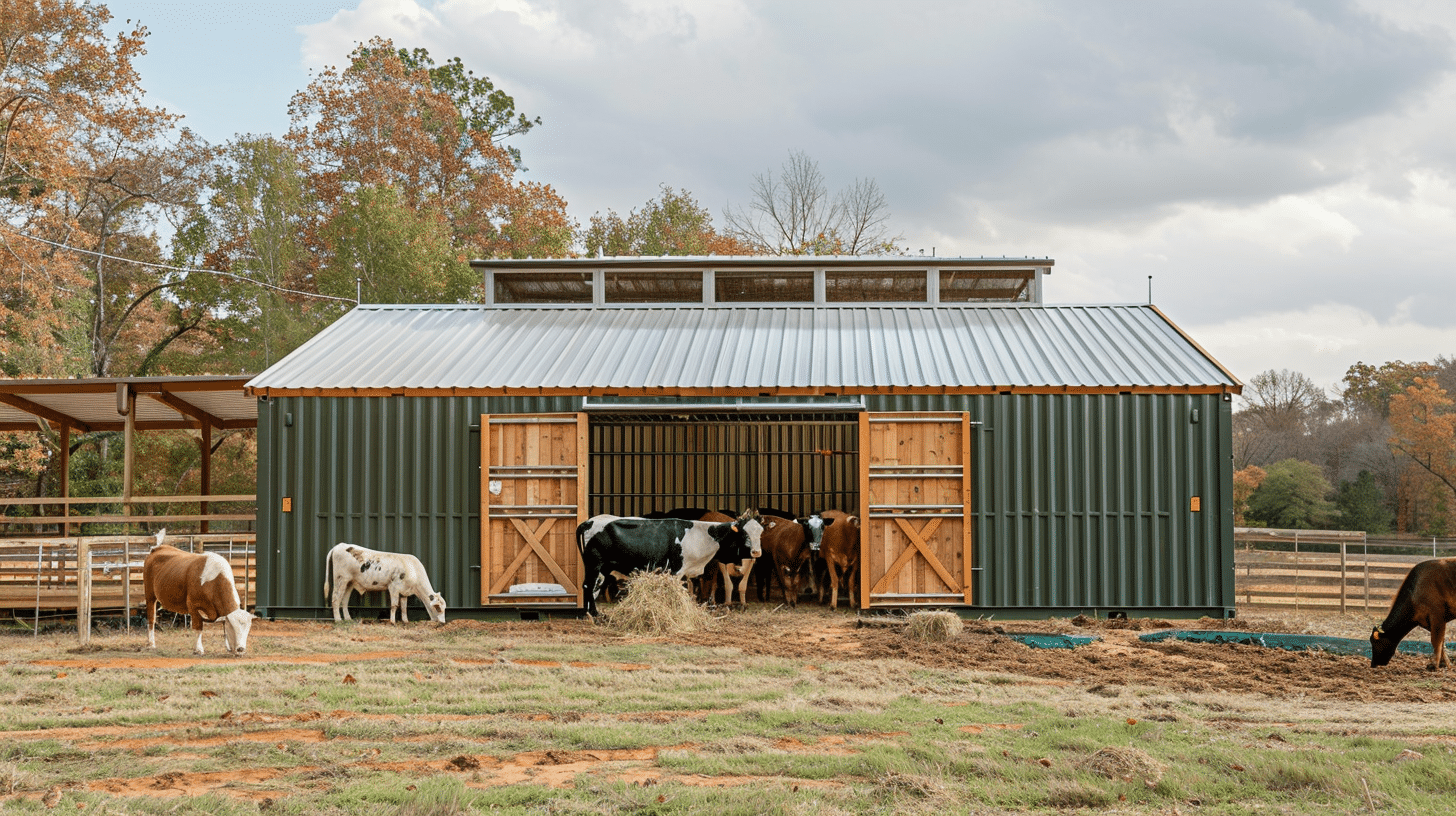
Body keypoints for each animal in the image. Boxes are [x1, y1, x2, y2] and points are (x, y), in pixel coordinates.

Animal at [576, 507, 768, 614]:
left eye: (760, 532)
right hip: (594, 565)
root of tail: (589, 522)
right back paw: (594, 615)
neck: (702, 535)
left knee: (594, 588)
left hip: (603, 570)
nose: (757, 552)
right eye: (744, 533)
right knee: (588, 586)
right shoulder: (676, 571)